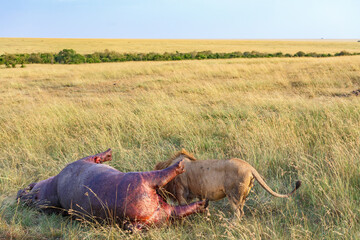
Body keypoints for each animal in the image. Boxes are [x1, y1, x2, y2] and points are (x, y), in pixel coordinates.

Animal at [155, 149, 300, 218]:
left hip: (233, 195)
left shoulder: (181, 194)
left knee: (238, 213)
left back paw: (230, 225)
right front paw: (205, 216)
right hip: (243, 196)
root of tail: (250, 167)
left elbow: (183, 209)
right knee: (241, 211)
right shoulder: (194, 194)